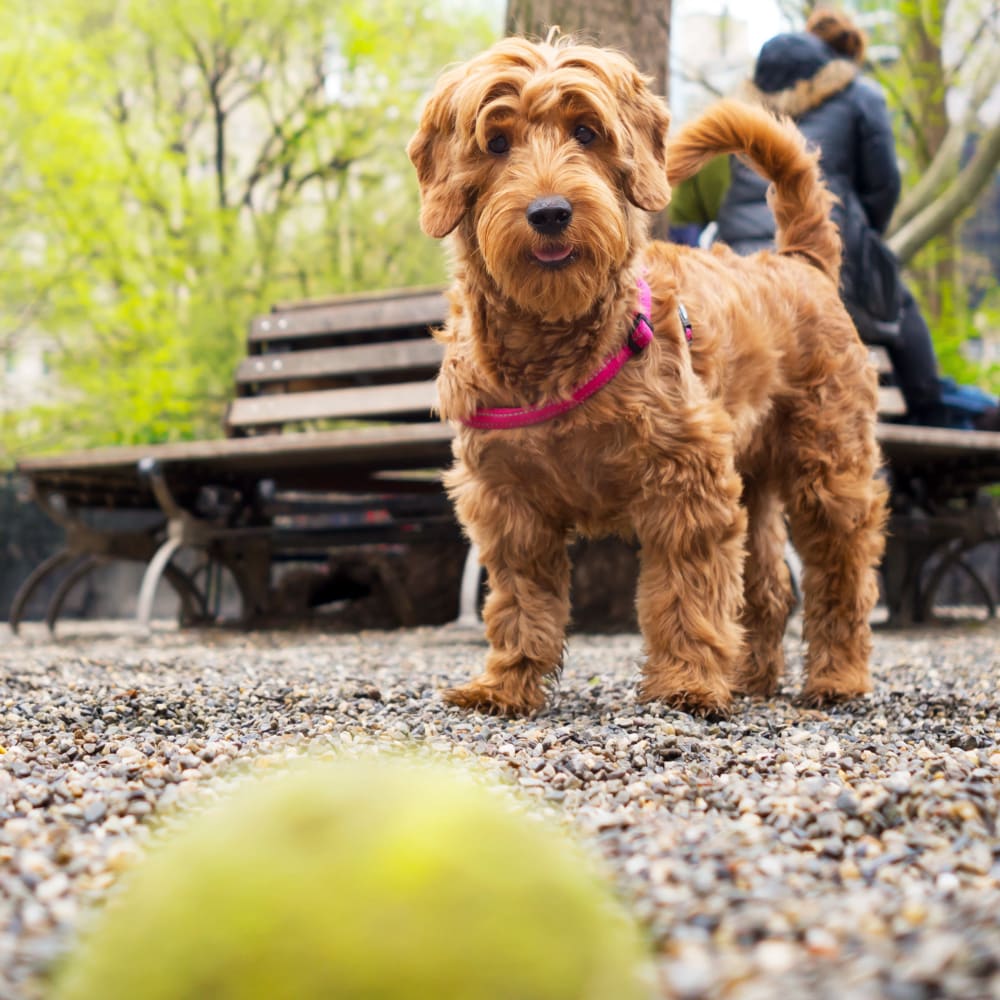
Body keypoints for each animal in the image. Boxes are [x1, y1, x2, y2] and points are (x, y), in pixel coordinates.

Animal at [410, 35, 888, 716]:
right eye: (496, 143)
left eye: (586, 132)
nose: (550, 212)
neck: (556, 347)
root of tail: (798, 260)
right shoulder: (507, 500)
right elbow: (520, 600)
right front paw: (506, 683)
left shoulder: (687, 479)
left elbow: (686, 591)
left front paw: (687, 682)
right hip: (755, 475)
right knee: (769, 587)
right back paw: (750, 678)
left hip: (829, 466)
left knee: (841, 574)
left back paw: (836, 678)